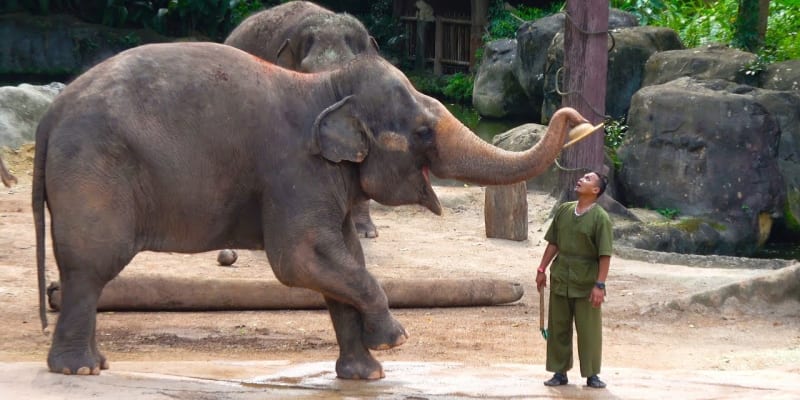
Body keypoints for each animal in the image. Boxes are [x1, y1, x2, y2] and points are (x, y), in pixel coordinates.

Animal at [33, 42, 588, 379]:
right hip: (93, 173)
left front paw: (367, 374)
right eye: (423, 132)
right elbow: (299, 259)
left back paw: (95, 365)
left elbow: (343, 260)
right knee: (90, 268)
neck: (324, 85)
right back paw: (79, 370)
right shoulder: (294, 171)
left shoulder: (325, 179)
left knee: (88, 275)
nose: (575, 115)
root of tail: (50, 115)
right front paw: (394, 341)